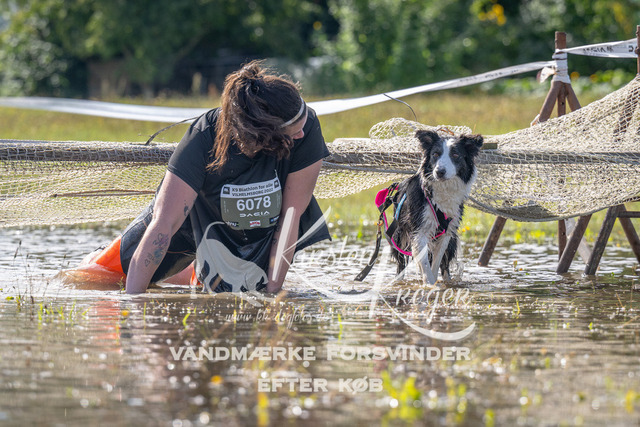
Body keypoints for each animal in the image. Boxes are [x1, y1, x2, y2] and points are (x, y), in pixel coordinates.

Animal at [388, 129, 483, 285]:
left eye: (455, 155)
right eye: (435, 154)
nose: (440, 171)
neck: (443, 189)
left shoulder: (446, 233)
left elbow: (436, 263)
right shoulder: (419, 230)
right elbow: (425, 264)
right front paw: (430, 285)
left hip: (451, 241)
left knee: (445, 266)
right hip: (399, 236)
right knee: (400, 264)